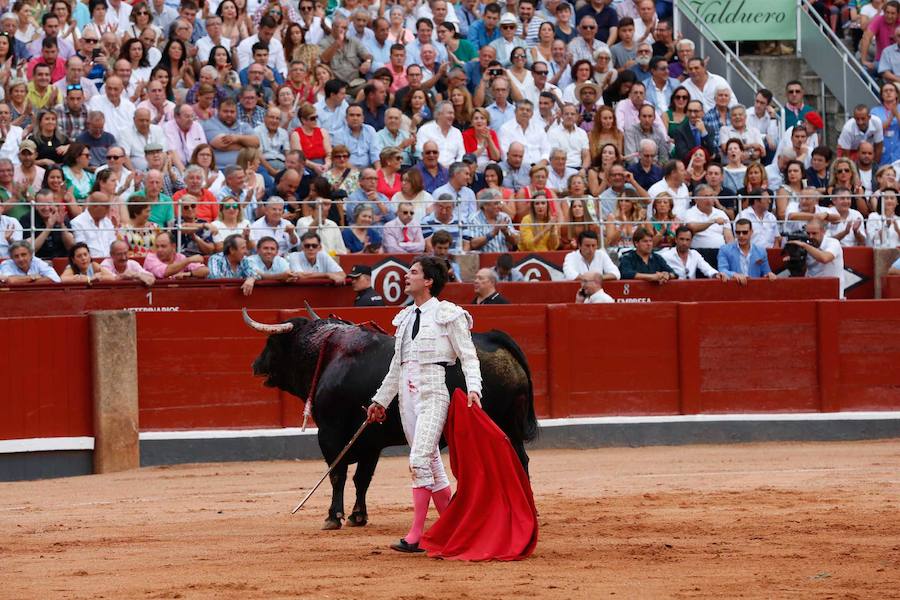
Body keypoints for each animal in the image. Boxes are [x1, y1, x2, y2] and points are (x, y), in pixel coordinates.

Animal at [246, 312, 536, 528]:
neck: (328, 354)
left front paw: (333, 516)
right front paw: (357, 516)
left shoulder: (330, 434)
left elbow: (338, 474)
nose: (255, 365)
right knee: (520, 459)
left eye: (271, 343)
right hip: (510, 426)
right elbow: (362, 478)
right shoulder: (369, 440)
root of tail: (493, 338)